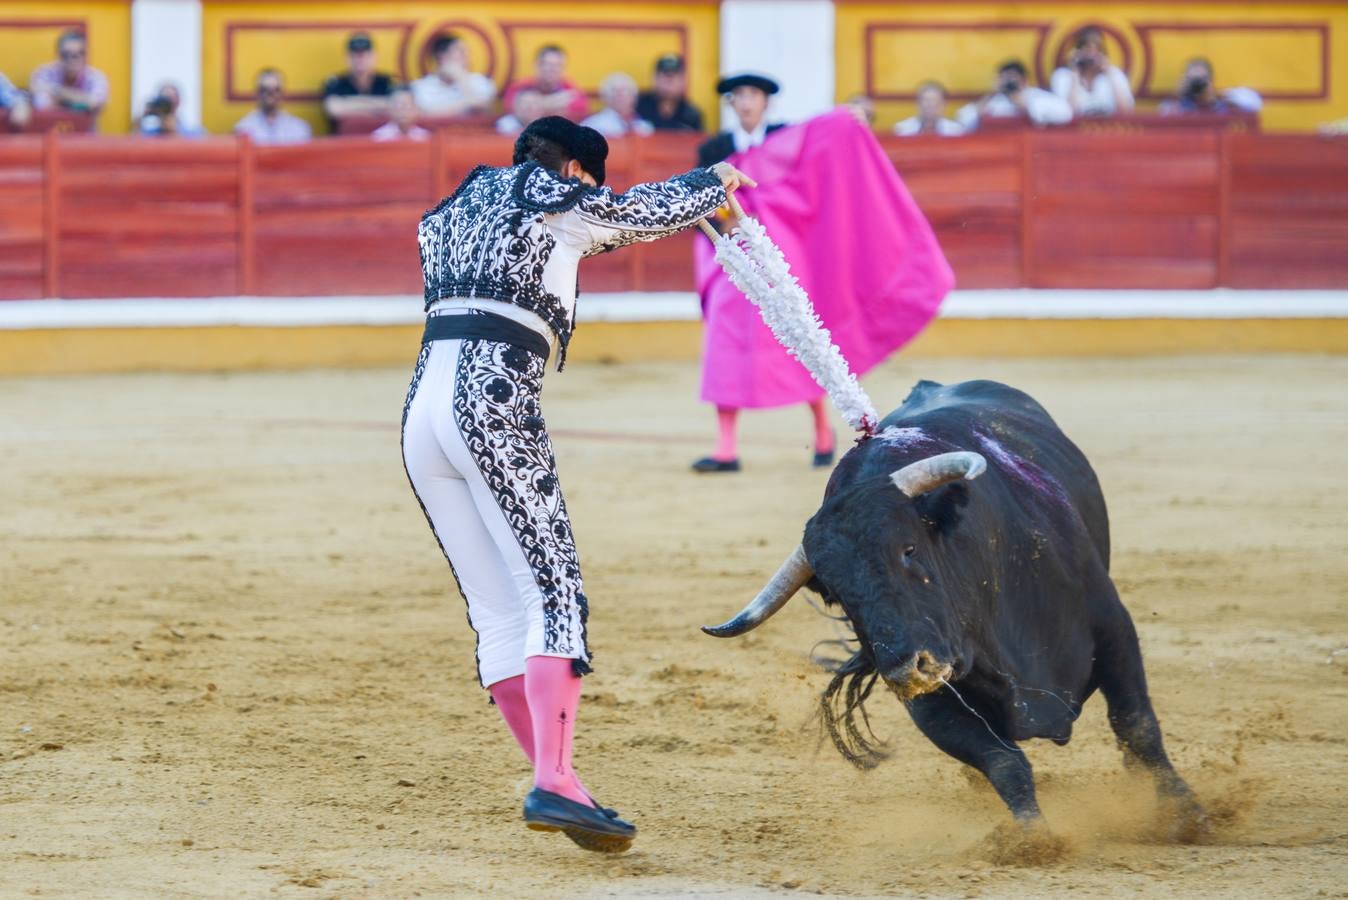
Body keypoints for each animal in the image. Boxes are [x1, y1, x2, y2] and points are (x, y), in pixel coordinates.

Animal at [706, 379, 1213, 835]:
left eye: (909, 549)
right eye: (836, 592)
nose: (908, 669)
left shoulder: (1112, 626)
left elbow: (1136, 724)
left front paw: (1187, 814)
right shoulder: (932, 702)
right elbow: (1001, 760)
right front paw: (1033, 838)